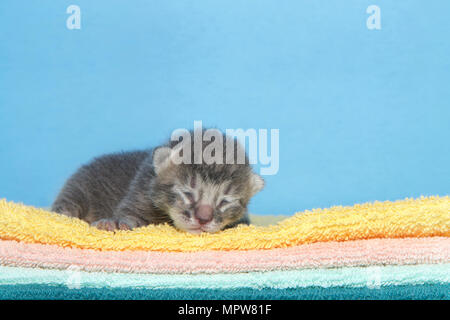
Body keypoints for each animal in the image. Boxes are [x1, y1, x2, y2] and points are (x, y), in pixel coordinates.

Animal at [52, 129, 264, 234]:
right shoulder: (140, 192)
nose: (203, 219)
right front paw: (115, 224)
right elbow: (129, 216)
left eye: (224, 201)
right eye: (187, 193)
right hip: (79, 188)